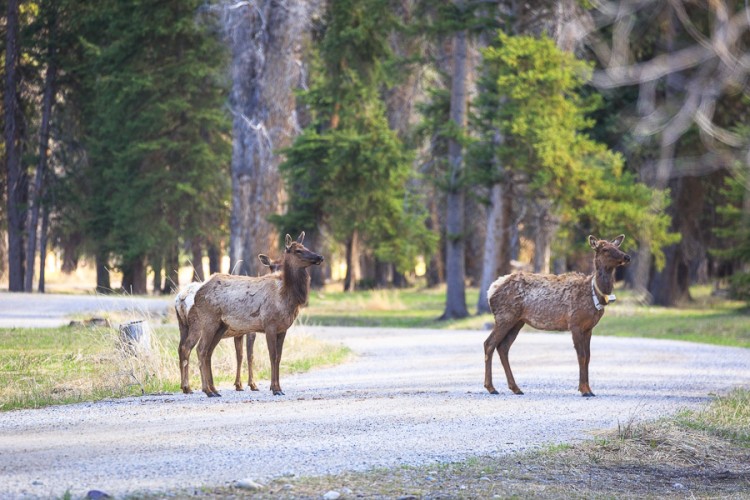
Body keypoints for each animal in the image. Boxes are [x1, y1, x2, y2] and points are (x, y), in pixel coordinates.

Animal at [180, 233, 326, 398]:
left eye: (305, 247)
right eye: (298, 251)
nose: (320, 257)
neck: (286, 296)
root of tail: (198, 292)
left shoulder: (283, 329)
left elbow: (279, 357)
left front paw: (278, 387)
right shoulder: (269, 325)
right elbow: (272, 356)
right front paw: (275, 389)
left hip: (221, 326)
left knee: (207, 352)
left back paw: (213, 390)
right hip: (208, 321)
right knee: (200, 349)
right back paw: (206, 390)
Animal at [484, 234, 632, 398]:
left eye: (617, 247)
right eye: (605, 249)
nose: (626, 257)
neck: (595, 294)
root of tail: (491, 290)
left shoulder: (589, 328)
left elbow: (588, 357)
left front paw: (589, 389)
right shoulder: (575, 323)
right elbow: (581, 356)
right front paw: (584, 390)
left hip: (517, 321)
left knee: (503, 347)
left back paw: (515, 388)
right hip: (505, 316)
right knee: (489, 343)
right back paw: (491, 387)